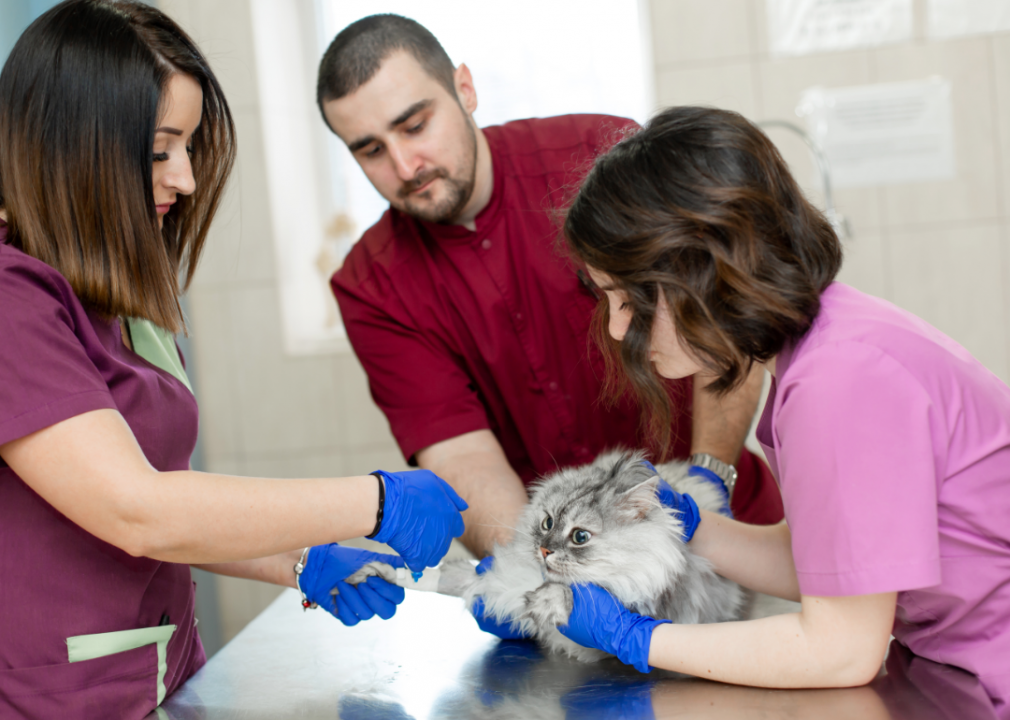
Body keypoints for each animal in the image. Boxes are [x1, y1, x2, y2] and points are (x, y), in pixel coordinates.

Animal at [351, 448, 747, 662]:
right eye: (547, 522)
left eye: (580, 537)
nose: (544, 549)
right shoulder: (495, 577)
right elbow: (442, 577)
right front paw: (379, 573)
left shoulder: (642, 614)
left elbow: (578, 594)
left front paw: (547, 602)